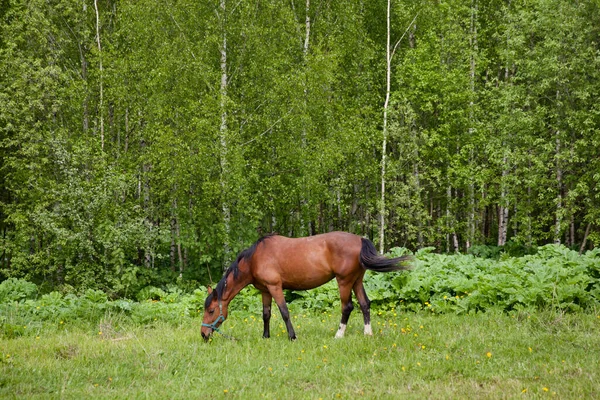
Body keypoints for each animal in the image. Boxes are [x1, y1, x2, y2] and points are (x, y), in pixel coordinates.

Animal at [199, 231, 410, 340]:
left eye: (211, 310)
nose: (203, 334)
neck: (255, 258)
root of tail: (360, 239)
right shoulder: (265, 290)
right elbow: (266, 314)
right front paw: (265, 336)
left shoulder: (275, 287)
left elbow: (284, 312)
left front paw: (292, 336)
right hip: (357, 280)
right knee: (365, 304)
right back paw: (368, 333)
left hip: (344, 281)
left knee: (347, 307)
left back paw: (339, 334)